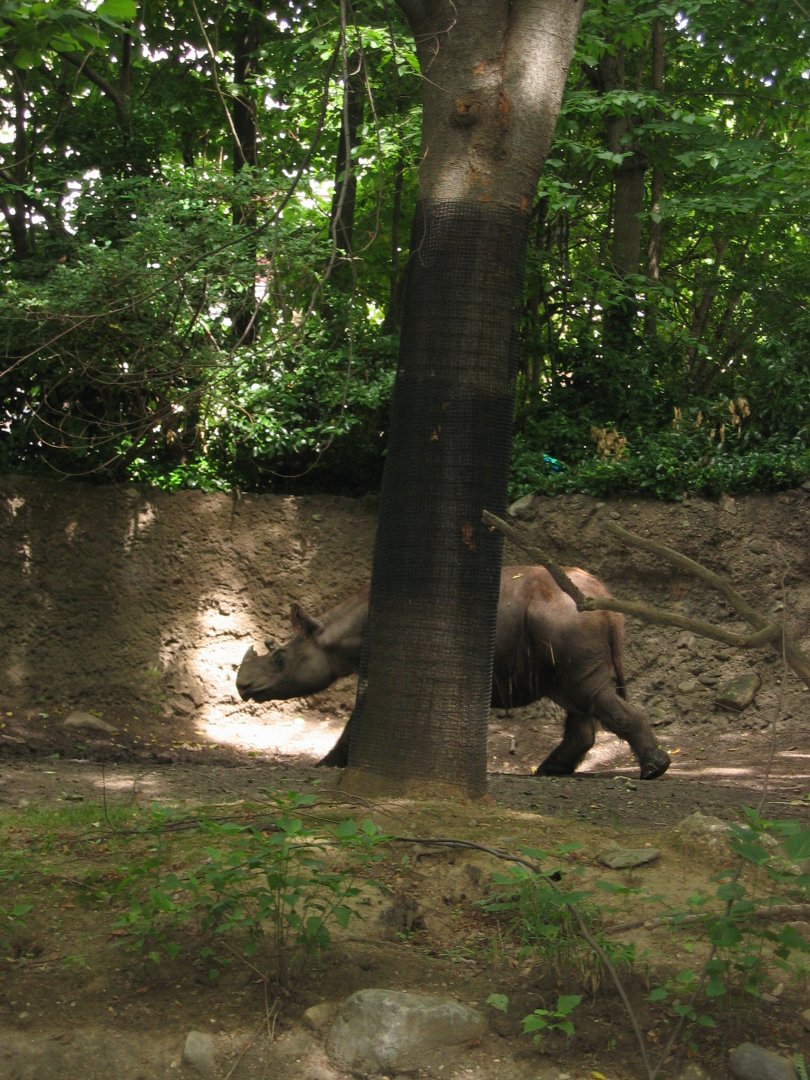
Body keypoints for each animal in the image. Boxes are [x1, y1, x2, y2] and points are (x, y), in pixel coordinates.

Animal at [236, 565, 671, 780]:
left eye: (279, 658)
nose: (243, 687)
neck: (333, 631)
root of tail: (603, 597)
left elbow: (358, 718)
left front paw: (327, 765)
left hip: (563, 620)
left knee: (587, 694)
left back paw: (653, 770)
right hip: (564, 623)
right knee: (579, 697)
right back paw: (550, 771)